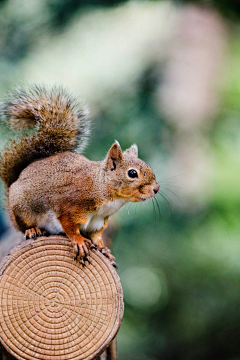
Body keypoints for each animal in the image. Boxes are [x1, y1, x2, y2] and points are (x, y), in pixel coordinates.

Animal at [0, 84, 161, 264]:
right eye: (132, 173)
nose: (156, 188)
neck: (102, 187)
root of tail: (14, 182)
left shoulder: (98, 222)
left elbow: (97, 237)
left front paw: (104, 249)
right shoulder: (70, 207)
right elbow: (70, 227)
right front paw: (79, 241)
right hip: (23, 209)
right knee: (22, 226)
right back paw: (32, 230)